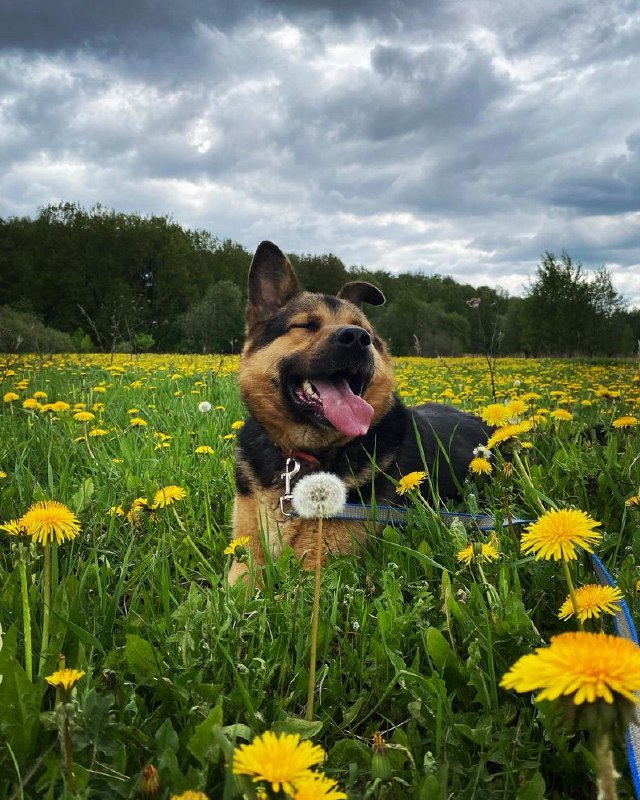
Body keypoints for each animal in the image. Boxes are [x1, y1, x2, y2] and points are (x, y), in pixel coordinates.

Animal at [229, 241, 490, 584]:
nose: (357, 338)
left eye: (364, 330)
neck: (304, 455)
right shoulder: (243, 555)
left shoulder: (320, 568)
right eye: (306, 325)